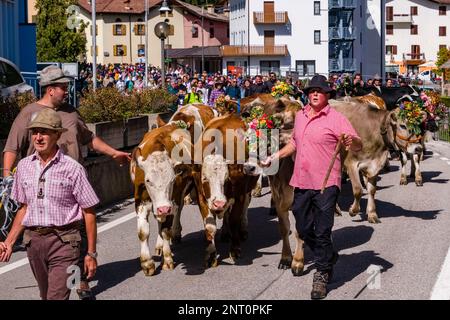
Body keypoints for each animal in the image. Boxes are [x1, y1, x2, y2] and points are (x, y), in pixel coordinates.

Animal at [129, 104, 215, 276]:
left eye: (171, 180)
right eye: (148, 181)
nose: (163, 208)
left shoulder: (175, 194)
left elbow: (166, 229)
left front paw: (168, 259)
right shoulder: (140, 199)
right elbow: (143, 231)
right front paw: (147, 263)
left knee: (176, 212)